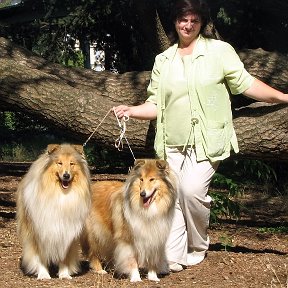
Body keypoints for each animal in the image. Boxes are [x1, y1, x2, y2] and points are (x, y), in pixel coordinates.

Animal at [15, 144, 91, 280]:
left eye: (72, 163)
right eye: (59, 163)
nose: (66, 175)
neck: (60, 193)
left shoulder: (67, 233)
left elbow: (64, 257)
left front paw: (64, 274)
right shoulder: (39, 232)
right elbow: (41, 257)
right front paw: (43, 275)